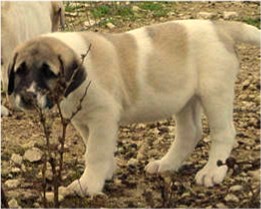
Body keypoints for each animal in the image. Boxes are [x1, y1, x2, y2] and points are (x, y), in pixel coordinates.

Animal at [7, 20, 258, 196]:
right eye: (20, 71)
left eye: (49, 72)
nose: (27, 97)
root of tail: (219, 27)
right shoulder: (83, 121)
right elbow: (94, 147)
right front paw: (105, 172)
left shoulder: (102, 117)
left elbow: (95, 152)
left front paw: (87, 185)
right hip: (185, 99)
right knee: (190, 132)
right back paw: (166, 164)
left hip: (215, 92)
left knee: (224, 133)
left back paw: (212, 172)